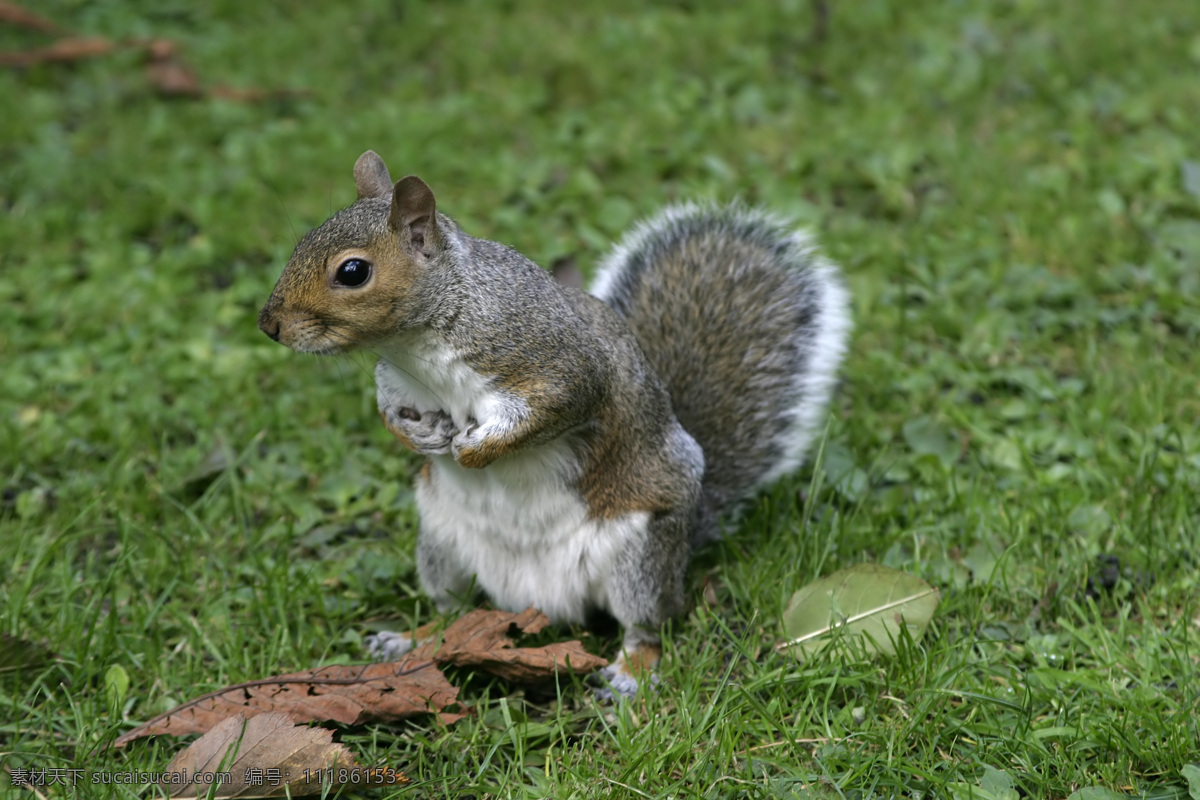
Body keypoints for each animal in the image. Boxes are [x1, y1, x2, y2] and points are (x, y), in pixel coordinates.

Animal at [256, 149, 849, 695]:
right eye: (303, 241)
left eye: (353, 271)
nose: (269, 324)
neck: (420, 343)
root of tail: (536, 600)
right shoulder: (399, 383)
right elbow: (388, 411)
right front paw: (421, 437)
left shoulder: (556, 364)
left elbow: (554, 409)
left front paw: (474, 451)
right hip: (441, 545)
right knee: (451, 611)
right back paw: (407, 639)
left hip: (639, 557)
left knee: (647, 627)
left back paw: (630, 674)